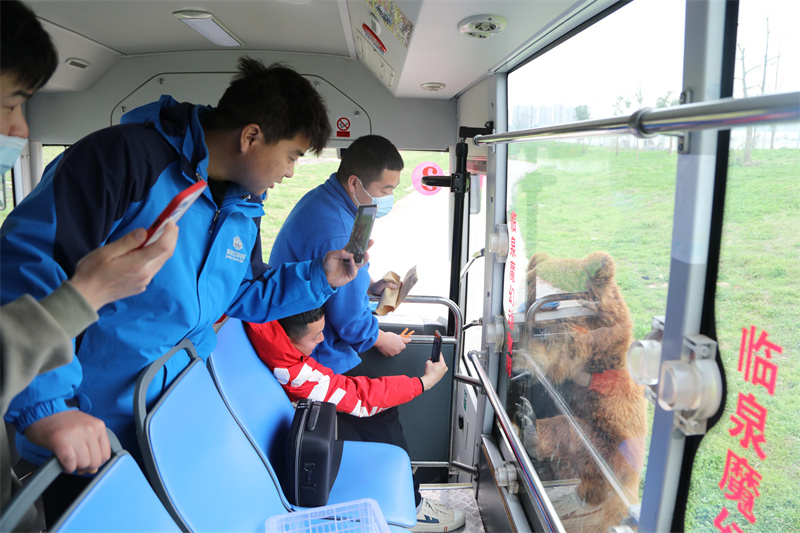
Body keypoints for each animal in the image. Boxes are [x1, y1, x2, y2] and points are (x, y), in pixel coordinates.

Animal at [512, 250, 648, 532]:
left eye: (540, 329)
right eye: (518, 328)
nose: (517, 372)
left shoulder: (613, 395)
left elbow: (608, 453)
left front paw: (531, 427)